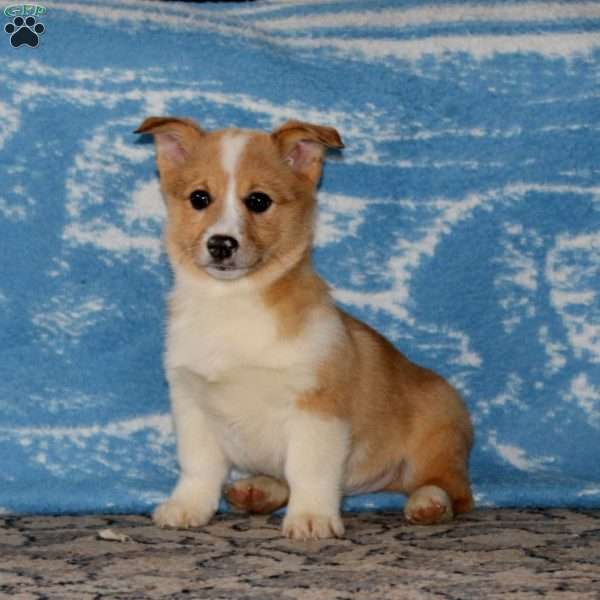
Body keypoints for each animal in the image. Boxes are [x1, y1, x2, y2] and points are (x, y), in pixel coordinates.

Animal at [136, 116, 474, 540]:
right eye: (199, 198)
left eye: (258, 201)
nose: (221, 244)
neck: (233, 302)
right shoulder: (192, 404)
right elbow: (199, 467)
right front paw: (188, 506)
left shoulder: (317, 409)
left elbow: (308, 470)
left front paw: (312, 517)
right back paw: (258, 490)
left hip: (436, 430)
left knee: (452, 488)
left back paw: (430, 503)